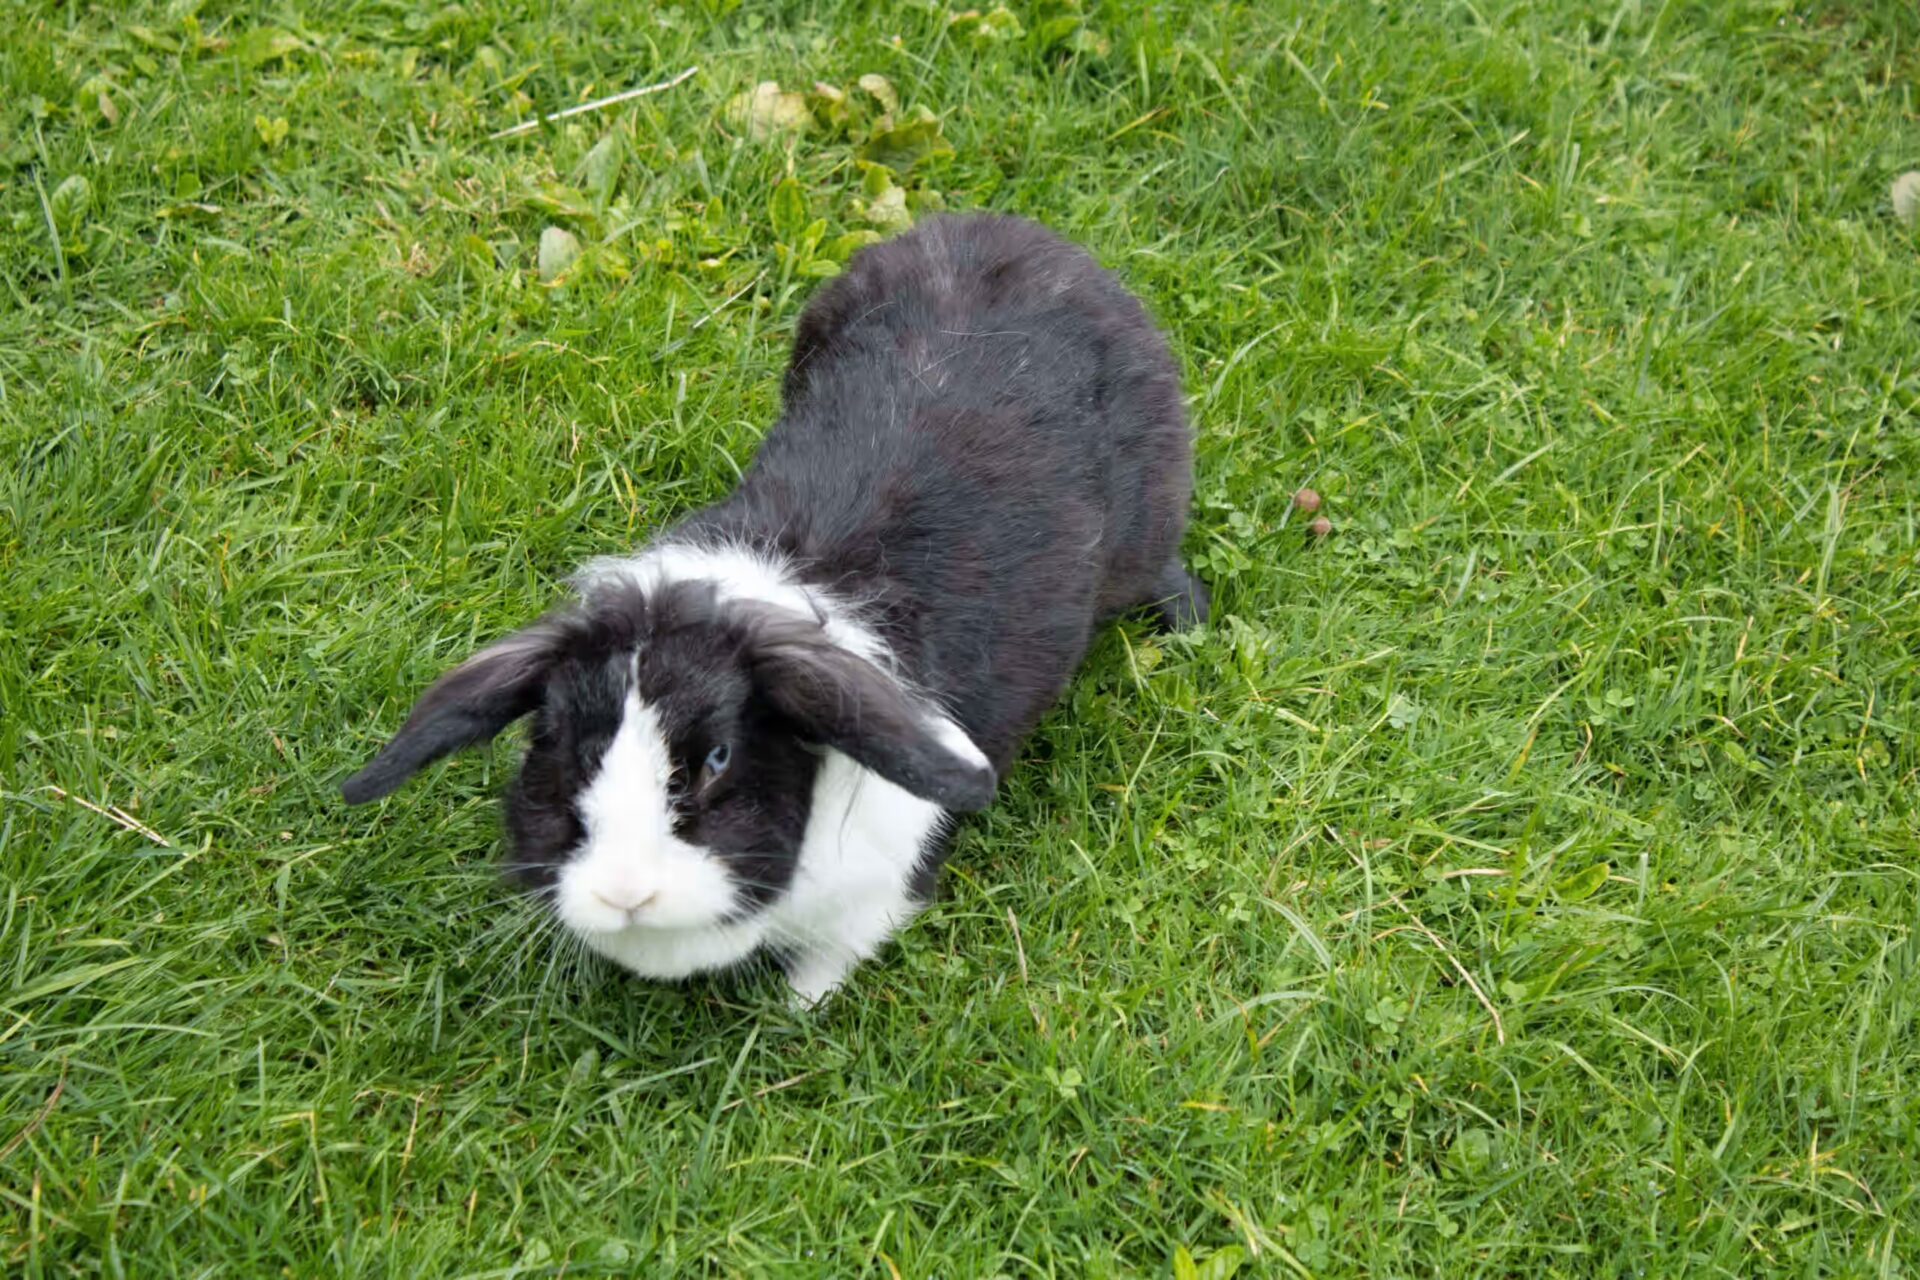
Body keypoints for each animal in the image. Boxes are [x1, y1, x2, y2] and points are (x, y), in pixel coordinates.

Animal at [342, 213, 1207, 1006]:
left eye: (719, 757)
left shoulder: (871, 901)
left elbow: (824, 968)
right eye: (560, 745)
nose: (626, 893)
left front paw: (796, 1018)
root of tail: (1027, 236)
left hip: (1144, 531)